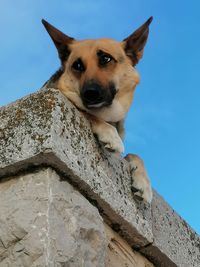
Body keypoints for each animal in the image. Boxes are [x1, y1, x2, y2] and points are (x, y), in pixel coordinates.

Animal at [41, 17, 152, 203]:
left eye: (106, 59)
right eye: (77, 65)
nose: (90, 94)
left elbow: (135, 155)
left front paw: (143, 182)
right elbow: (85, 112)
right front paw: (109, 133)